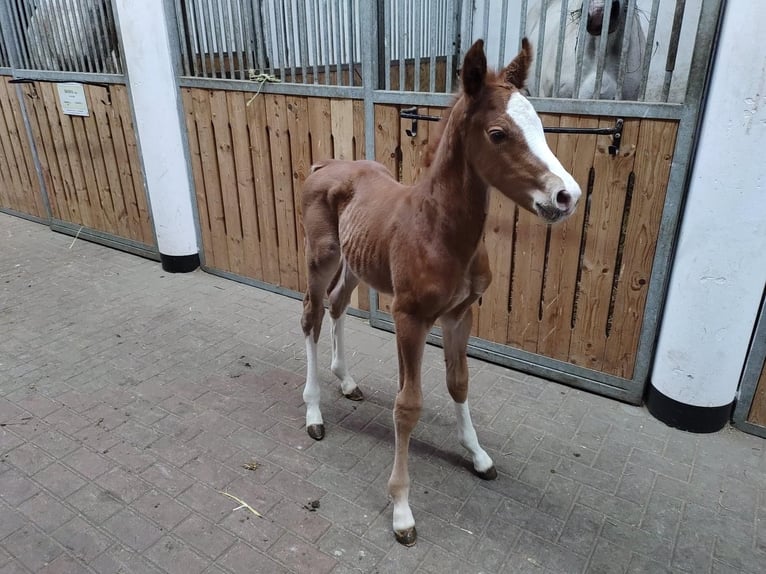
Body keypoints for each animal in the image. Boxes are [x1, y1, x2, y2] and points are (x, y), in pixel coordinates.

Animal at [300, 39, 584, 544]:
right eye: (498, 133)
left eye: (539, 125)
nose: (567, 196)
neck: (441, 230)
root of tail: (326, 163)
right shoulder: (409, 318)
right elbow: (407, 405)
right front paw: (401, 509)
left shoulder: (460, 314)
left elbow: (459, 382)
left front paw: (478, 456)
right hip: (322, 257)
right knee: (311, 316)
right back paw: (313, 413)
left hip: (355, 263)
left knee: (336, 306)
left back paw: (347, 381)